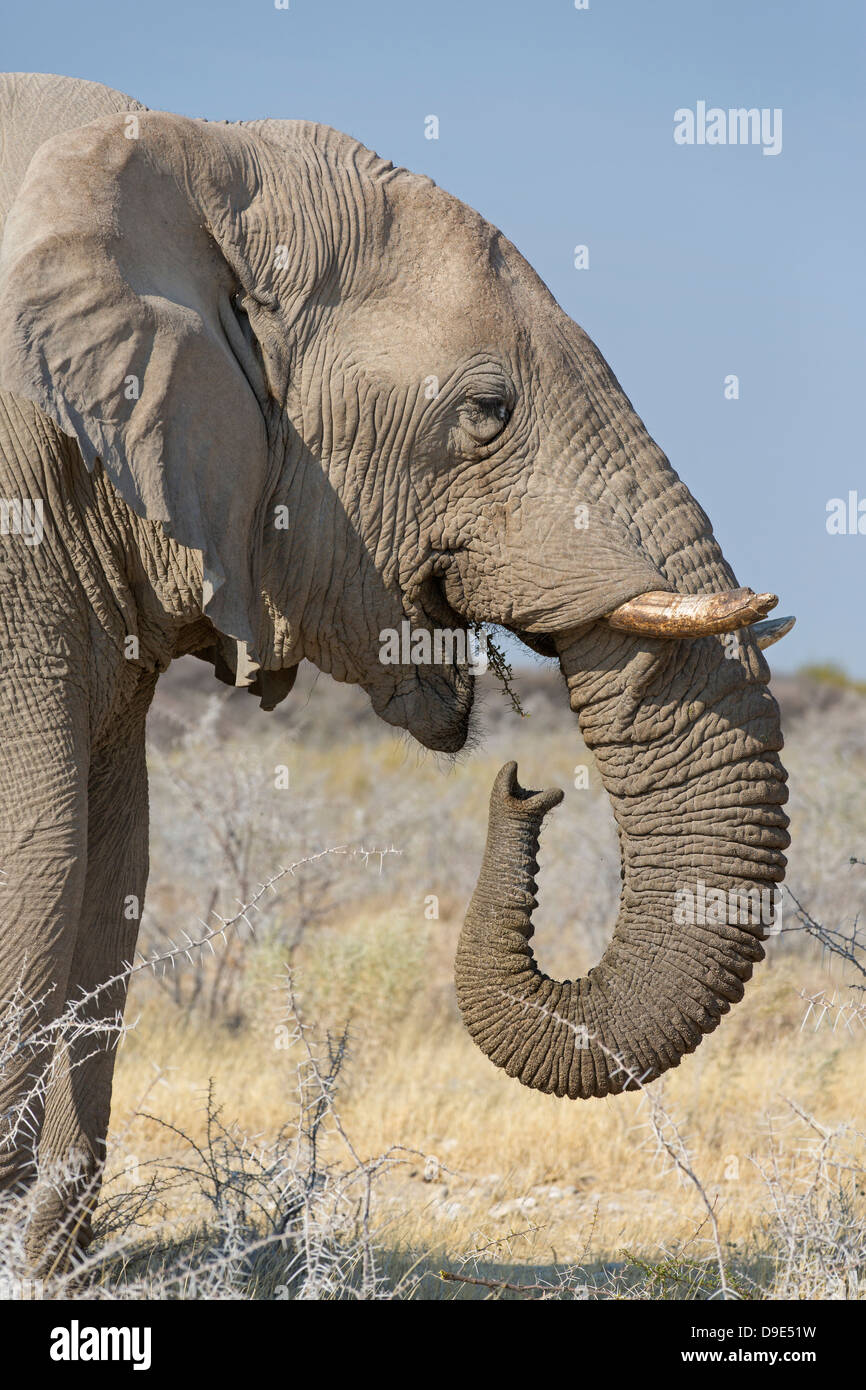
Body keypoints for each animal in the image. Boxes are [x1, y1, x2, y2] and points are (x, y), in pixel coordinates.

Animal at [0, 73, 795, 1273]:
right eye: (485, 413)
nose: (525, 786)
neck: (189, 160)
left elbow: (106, 866)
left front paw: (48, 1258)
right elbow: (39, 859)